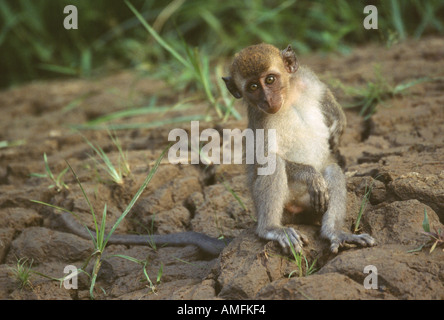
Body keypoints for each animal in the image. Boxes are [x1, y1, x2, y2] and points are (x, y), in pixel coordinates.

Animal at [222, 43, 374, 252]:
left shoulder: (305, 78)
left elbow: (323, 92)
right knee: (274, 163)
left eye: (270, 80)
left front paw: (339, 122)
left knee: (332, 170)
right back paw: (271, 228)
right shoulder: (260, 120)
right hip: (284, 206)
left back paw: (334, 232)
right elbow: (264, 158)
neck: (287, 98)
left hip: (312, 205)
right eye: (253, 87)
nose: (268, 99)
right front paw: (310, 174)